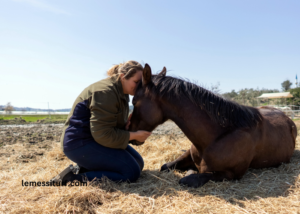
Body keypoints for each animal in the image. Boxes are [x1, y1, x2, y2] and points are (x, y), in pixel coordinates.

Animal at [129, 63, 298, 187]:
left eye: (134, 101)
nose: (129, 130)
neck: (216, 137)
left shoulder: (229, 174)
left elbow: (188, 178)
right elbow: (165, 166)